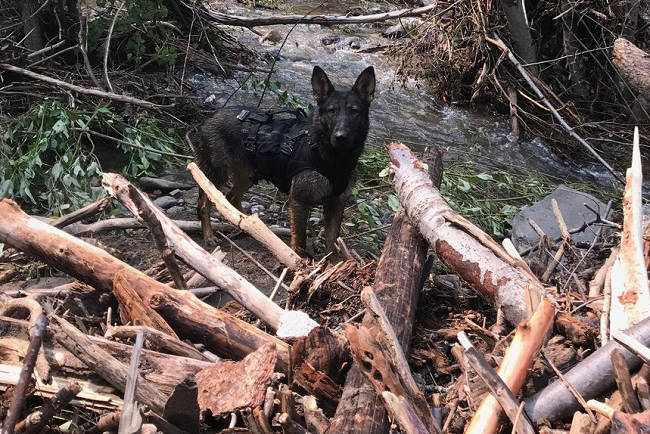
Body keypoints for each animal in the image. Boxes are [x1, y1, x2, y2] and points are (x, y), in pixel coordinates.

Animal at [190, 65, 374, 258]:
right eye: (332, 111)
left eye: (354, 111)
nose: (341, 137)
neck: (334, 158)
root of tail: (209, 118)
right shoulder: (299, 201)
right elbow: (299, 242)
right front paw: (300, 263)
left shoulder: (336, 203)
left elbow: (332, 245)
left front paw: (334, 264)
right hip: (215, 175)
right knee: (204, 204)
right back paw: (209, 236)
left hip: (247, 175)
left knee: (232, 198)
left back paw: (250, 225)